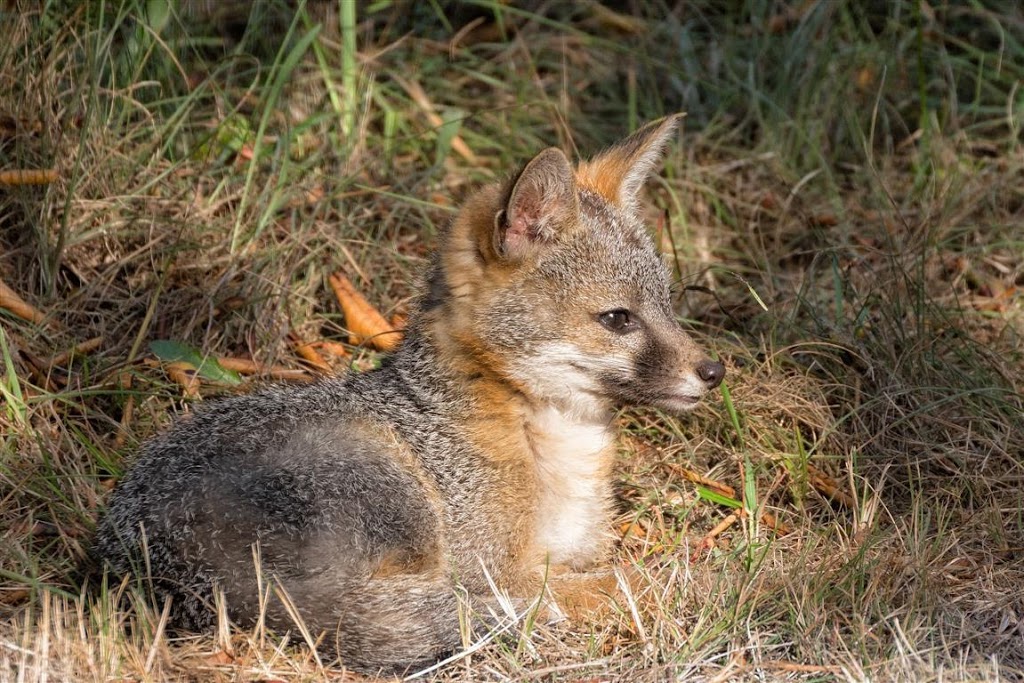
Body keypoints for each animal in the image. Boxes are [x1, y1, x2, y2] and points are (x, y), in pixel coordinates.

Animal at [92, 116, 724, 671]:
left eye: (667, 305)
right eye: (618, 319)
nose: (714, 371)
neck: (552, 442)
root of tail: (151, 566)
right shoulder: (494, 568)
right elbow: (612, 581)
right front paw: (710, 580)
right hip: (391, 489)